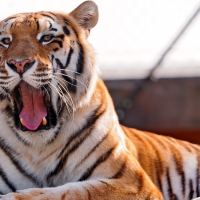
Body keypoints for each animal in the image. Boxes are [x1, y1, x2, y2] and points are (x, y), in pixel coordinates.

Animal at [0, 0, 200, 199]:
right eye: (5, 41)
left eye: (47, 37)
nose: (19, 64)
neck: (39, 145)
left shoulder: (134, 182)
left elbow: (72, 191)